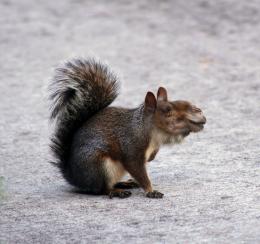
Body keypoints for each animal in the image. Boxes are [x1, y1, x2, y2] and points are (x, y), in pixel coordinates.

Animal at [49, 58, 206, 198]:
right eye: (168, 111)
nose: (199, 111)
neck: (149, 131)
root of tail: (74, 176)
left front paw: (151, 158)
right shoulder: (132, 149)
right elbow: (138, 171)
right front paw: (151, 191)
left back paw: (125, 183)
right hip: (99, 165)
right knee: (102, 189)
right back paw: (117, 192)